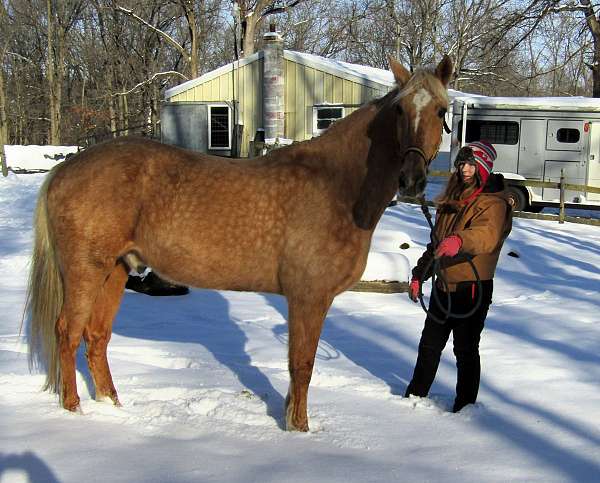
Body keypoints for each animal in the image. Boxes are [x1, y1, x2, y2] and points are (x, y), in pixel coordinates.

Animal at [27, 54, 450, 432]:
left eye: (442, 111)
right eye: (399, 110)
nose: (412, 180)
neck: (336, 186)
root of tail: (64, 168)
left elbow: (298, 366)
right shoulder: (308, 297)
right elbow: (302, 364)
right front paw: (300, 429)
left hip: (117, 269)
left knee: (96, 337)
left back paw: (112, 406)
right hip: (86, 270)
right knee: (67, 332)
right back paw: (74, 410)